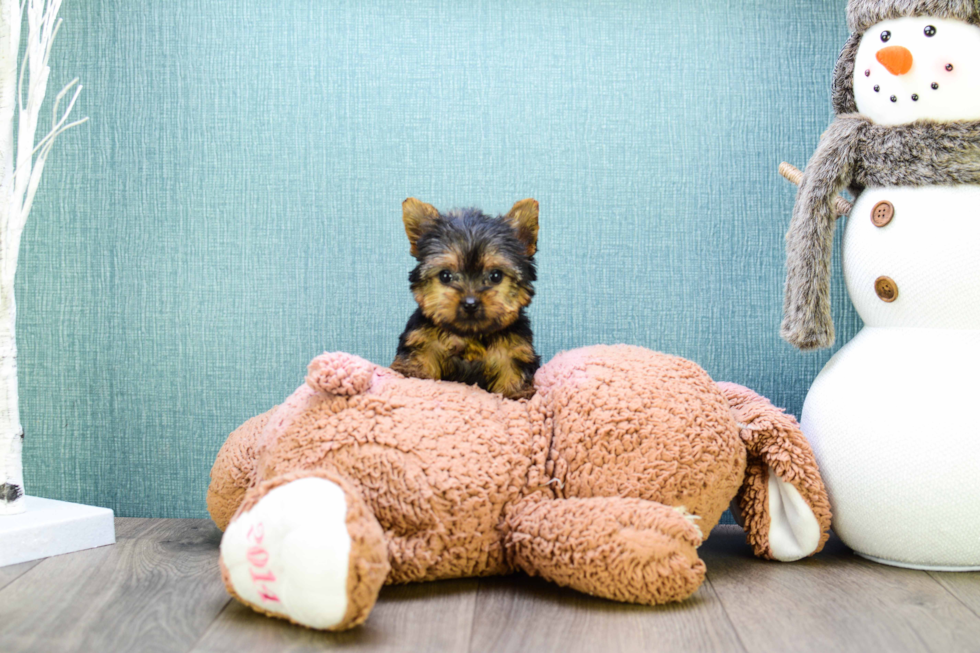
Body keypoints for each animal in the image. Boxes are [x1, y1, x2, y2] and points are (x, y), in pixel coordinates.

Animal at [392, 199, 544, 400]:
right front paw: (414, 375)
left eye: (496, 276)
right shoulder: (423, 341)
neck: (470, 335)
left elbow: (513, 373)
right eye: (445, 276)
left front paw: (516, 393)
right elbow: (419, 363)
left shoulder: (513, 350)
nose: (470, 304)